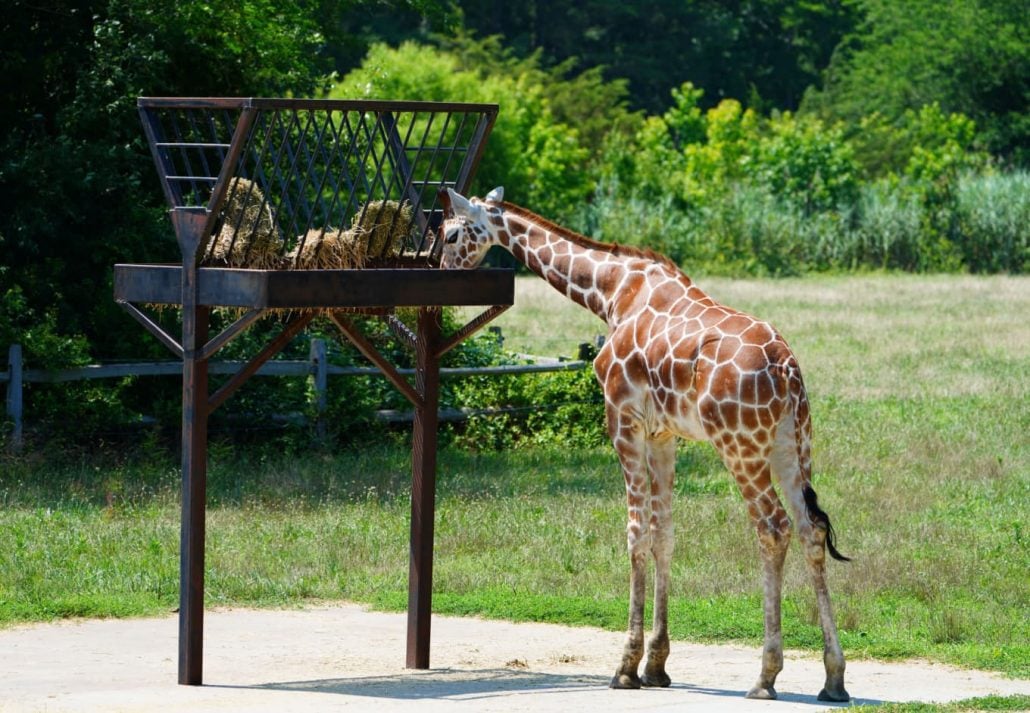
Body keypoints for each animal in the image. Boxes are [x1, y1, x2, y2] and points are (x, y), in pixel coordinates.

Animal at [438, 185, 848, 700]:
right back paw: (834, 678)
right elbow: (664, 535)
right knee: (811, 529)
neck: (611, 292)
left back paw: (765, 676)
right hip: (793, 444)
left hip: (740, 445)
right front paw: (656, 665)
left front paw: (626, 667)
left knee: (772, 527)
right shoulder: (663, 434)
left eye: (450, 234)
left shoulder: (622, 419)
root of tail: (787, 369)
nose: (442, 275)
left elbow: (636, 534)